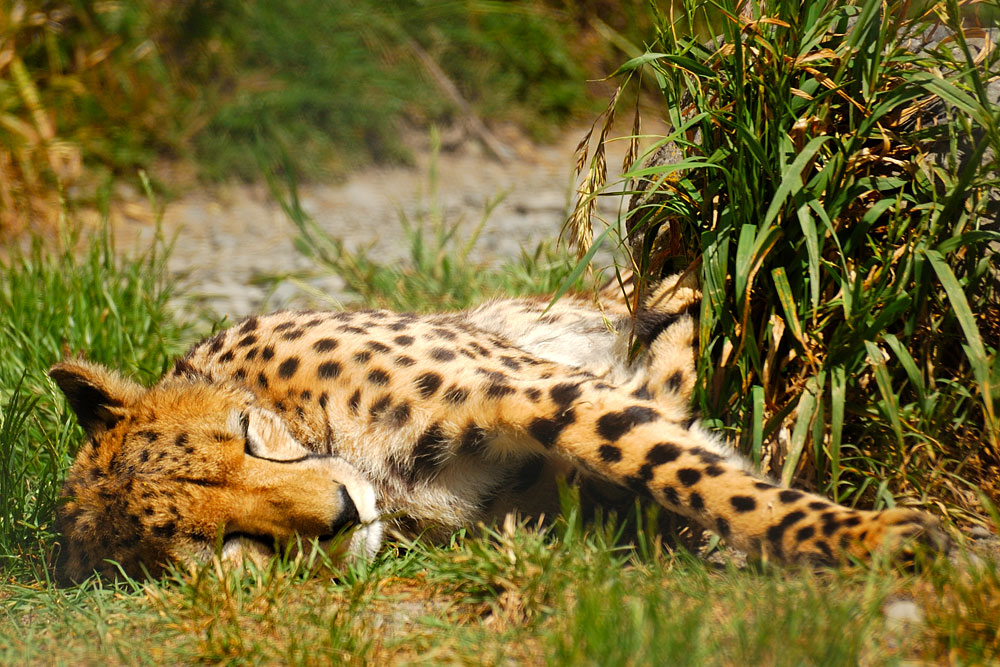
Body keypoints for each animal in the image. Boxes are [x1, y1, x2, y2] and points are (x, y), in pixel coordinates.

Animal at [52, 274, 944, 580]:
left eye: (246, 437)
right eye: (227, 545)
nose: (342, 513)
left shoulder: (529, 387)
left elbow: (685, 465)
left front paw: (868, 537)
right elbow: (668, 440)